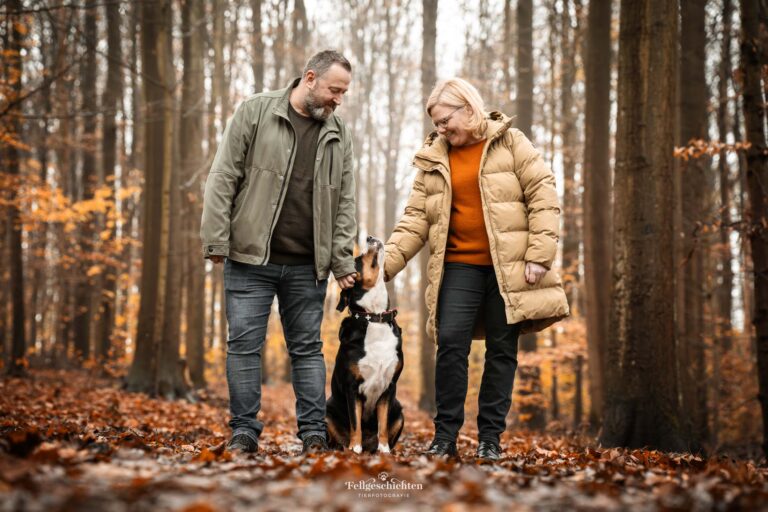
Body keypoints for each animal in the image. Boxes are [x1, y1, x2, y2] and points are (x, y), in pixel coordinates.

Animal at [326, 234, 404, 454]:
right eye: (358, 260)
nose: (369, 237)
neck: (373, 317)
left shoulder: (389, 387)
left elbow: (382, 425)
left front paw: (384, 451)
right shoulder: (352, 387)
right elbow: (356, 423)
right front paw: (355, 449)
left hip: (399, 410)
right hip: (328, 410)